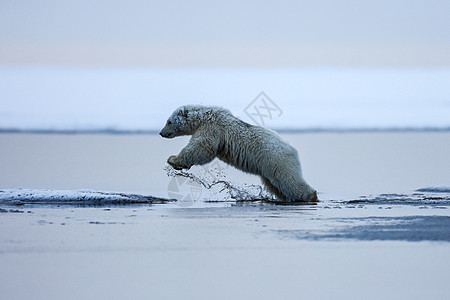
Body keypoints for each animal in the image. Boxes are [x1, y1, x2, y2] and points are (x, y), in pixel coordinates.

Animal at [160, 105, 318, 202]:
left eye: (169, 121)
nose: (161, 133)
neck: (203, 116)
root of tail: (292, 149)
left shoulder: (212, 127)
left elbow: (202, 147)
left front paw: (173, 160)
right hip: (268, 168)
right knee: (276, 186)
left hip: (275, 159)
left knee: (288, 180)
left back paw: (310, 196)